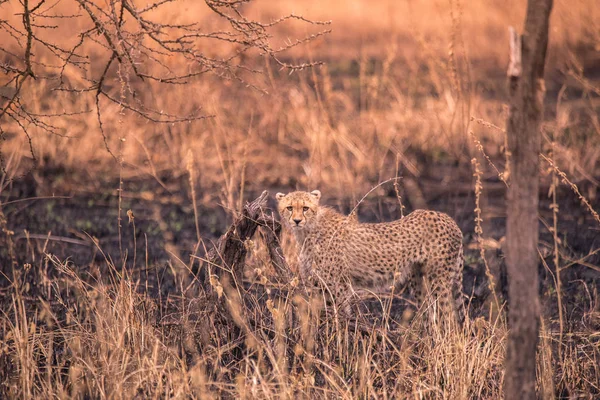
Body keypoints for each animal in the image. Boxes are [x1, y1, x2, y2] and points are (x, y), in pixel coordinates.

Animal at [274, 190, 466, 324]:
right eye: (289, 208)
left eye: (305, 208)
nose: (297, 221)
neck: (308, 232)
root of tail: (448, 218)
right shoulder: (316, 284)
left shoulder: (338, 285)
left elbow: (339, 313)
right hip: (419, 279)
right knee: (429, 313)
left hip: (439, 280)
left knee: (447, 315)